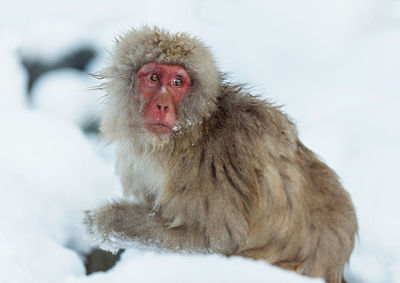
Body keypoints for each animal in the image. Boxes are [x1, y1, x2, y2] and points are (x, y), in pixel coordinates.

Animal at [83, 26, 356, 283]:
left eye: (177, 83)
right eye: (153, 77)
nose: (162, 105)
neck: (188, 137)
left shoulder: (213, 165)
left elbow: (214, 242)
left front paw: (108, 221)